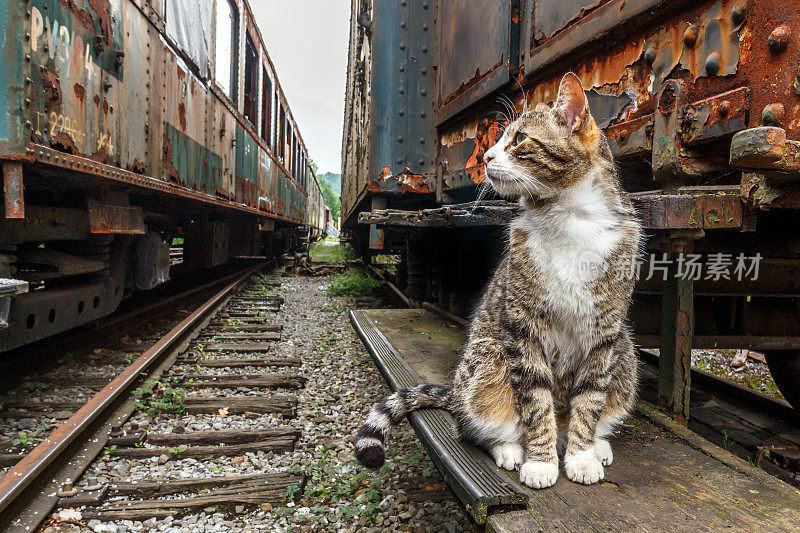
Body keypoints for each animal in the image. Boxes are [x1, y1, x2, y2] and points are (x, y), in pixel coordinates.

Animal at [354, 72, 640, 488]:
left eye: (519, 139)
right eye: (499, 139)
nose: (487, 157)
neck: (569, 216)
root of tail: (455, 392)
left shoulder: (604, 334)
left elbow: (589, 402)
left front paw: (581, 456)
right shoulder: (524, 327)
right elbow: (536, 403)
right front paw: (541, 462)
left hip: (625, 350)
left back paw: (596, 445)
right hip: (488, 358)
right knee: (472, 425)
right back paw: (508, 449)